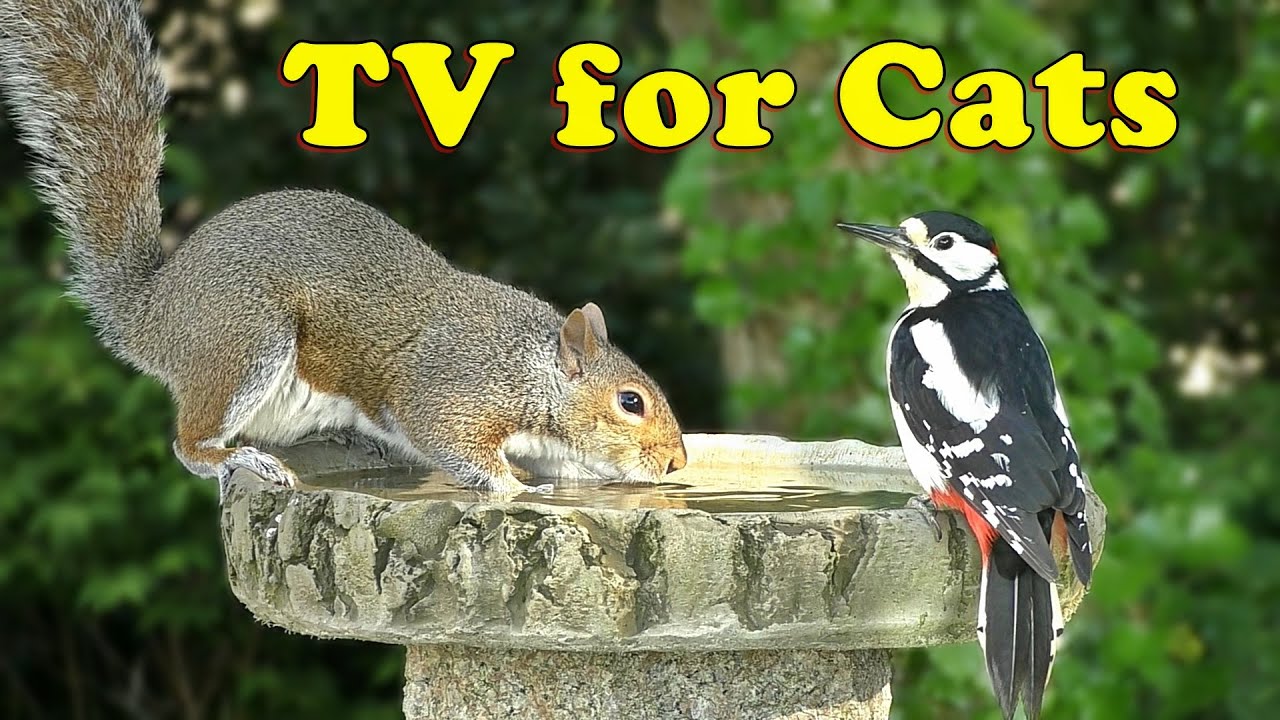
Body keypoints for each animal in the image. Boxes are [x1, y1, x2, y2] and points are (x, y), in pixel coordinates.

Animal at [0, 0, 689, 494]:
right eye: (630, 402)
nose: (678, 462)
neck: (532, 370)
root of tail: (150, 315)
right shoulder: (449, 391)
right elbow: (454, 443)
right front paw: (517, 489)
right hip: (245, 341)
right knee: (189, 444)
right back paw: (240, 460)